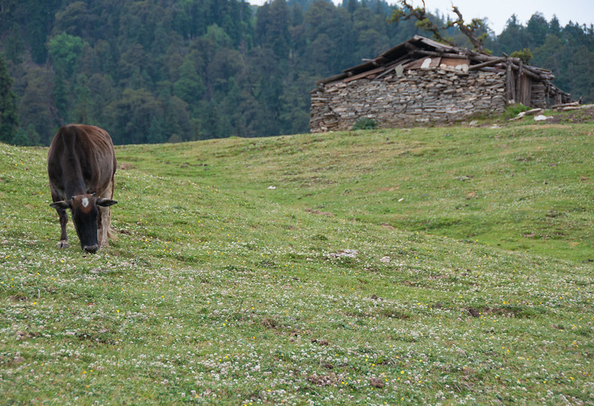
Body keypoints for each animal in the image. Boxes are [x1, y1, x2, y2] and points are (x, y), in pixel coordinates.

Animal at [48, 124, 119, 254]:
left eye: (94, 215)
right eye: (75, 217)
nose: (91, 248)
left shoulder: (94, 189)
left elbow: (100, 217)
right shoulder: (54, 189)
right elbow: (63, 216)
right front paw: (63, 241)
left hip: (109, 183)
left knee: (105, 214)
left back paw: (104, 242)